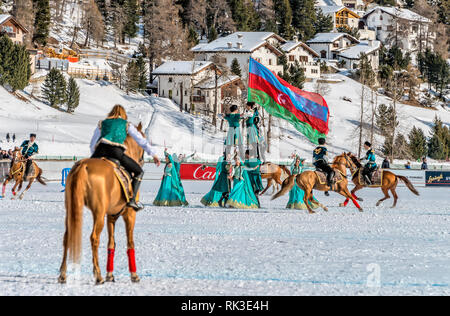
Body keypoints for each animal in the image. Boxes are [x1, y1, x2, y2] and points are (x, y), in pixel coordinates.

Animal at [58, 123, 146, 284]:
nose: (142, 160)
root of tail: (83, 166)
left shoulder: (111, 216)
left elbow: (111, 243)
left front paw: (110, 274)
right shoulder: (129, 214)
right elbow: (130, 243)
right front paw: (134, 275)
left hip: (71, 210)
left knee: (67, 237)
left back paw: (63, 274)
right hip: (98, 213)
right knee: (94, 238)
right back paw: (98, 275)